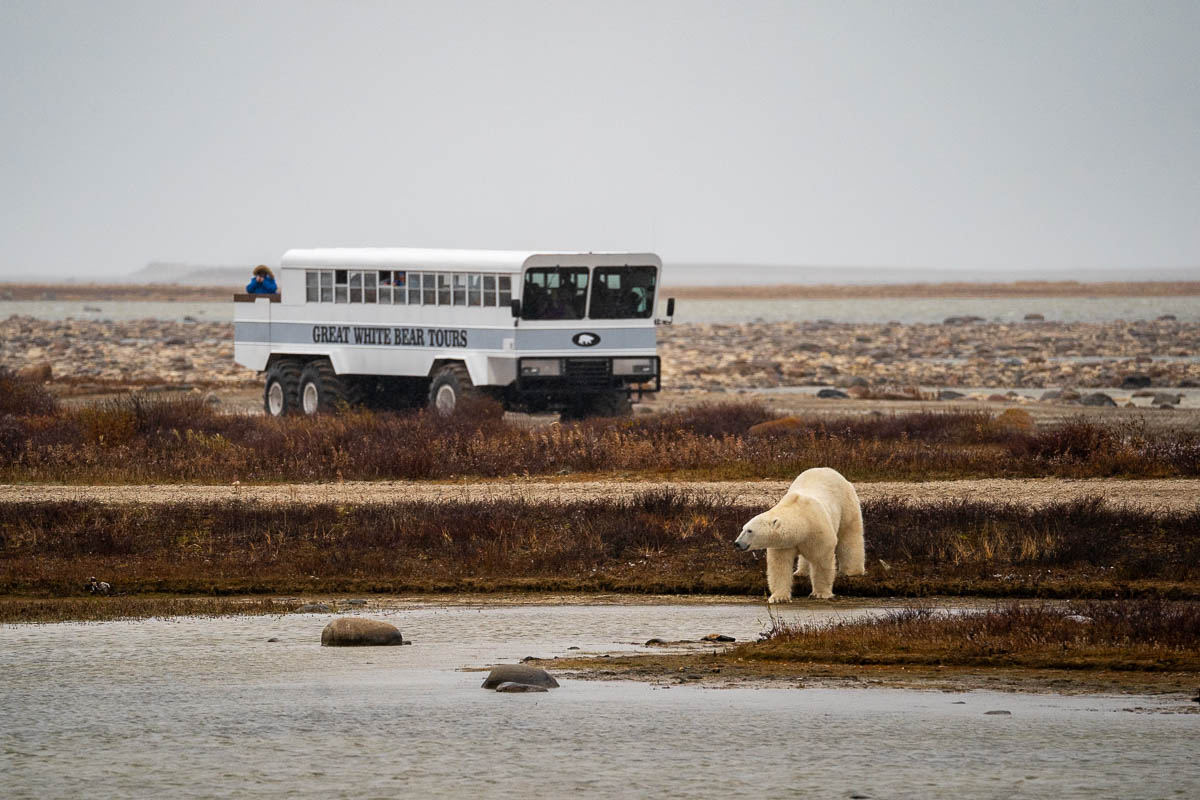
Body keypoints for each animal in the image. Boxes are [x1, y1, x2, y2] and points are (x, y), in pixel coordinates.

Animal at [729, 470, 864, 599]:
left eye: (750, 530)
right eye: (743, 528)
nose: (737, 543)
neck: (803, 522)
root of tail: (832, 471)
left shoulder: (818, 531)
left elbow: (821, 561)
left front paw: (820, 593)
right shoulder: (783, 544)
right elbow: (780, 566)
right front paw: (779, 597)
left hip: (846, 504)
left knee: (849, 536)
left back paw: (852, 571)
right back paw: (801, 572)